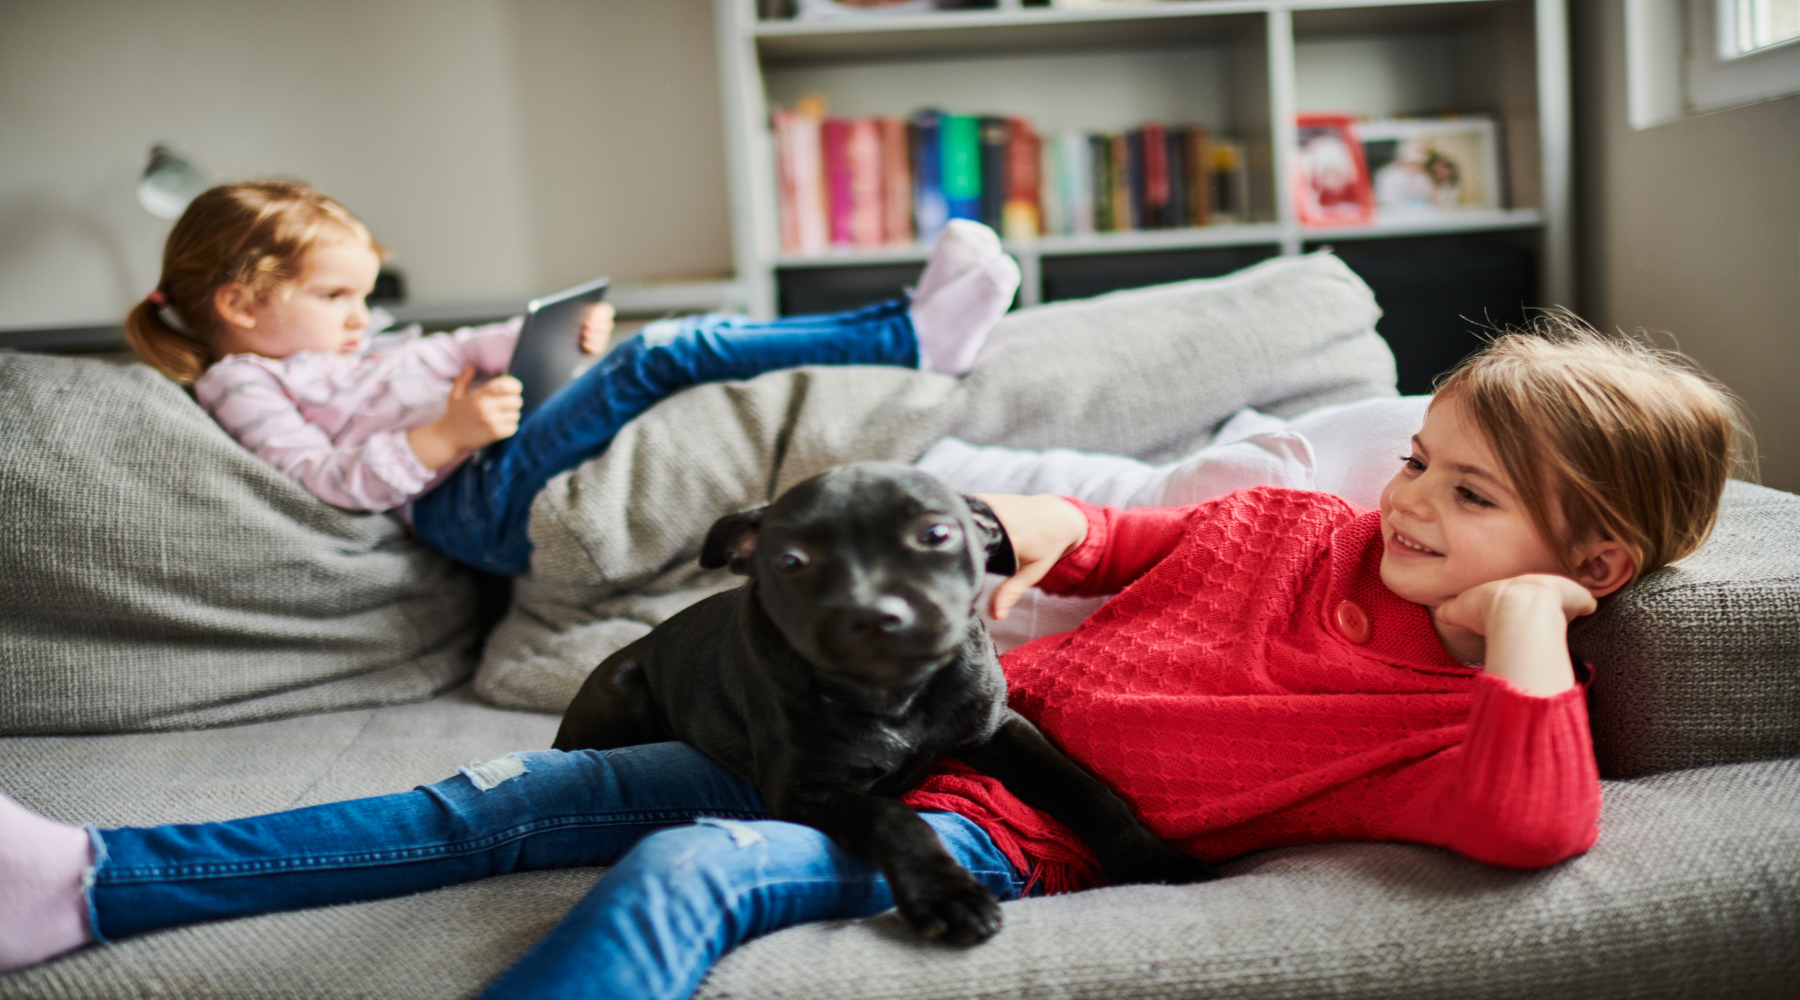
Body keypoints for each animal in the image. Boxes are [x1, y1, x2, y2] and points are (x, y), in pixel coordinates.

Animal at [554, 460, 1216, 942]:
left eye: (936, 534)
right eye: (791, 560)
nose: (873, 616)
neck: (894, 694)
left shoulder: (1001, 729)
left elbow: (1087, 790)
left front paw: (1155, 859)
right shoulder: (804, 787)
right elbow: (894, 817)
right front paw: (946, 894)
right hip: (621, 690)